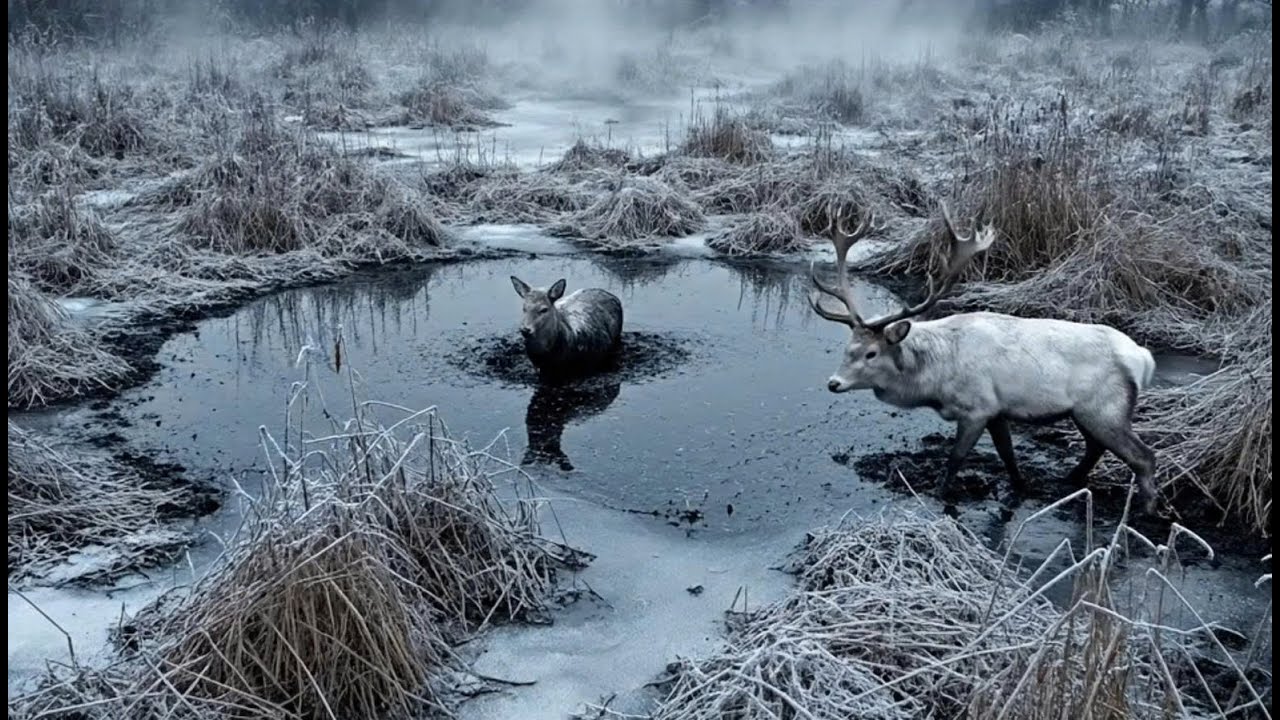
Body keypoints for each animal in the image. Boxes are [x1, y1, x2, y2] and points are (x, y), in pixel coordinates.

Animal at [808, 204, 1162, 516]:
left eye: (871, 353)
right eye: (848, 348)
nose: (833, 383)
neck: (935, 379)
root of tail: (1143, 359)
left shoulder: (977, 406)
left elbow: (956, 458)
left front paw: (940, 494)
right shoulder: (998, 409)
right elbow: (1008, 456)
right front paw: (1020, 487)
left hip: (1105, 406)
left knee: (1143, 457)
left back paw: (1146, 511)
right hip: (1087, 412)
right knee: (1095, 448)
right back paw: (1068, 481)